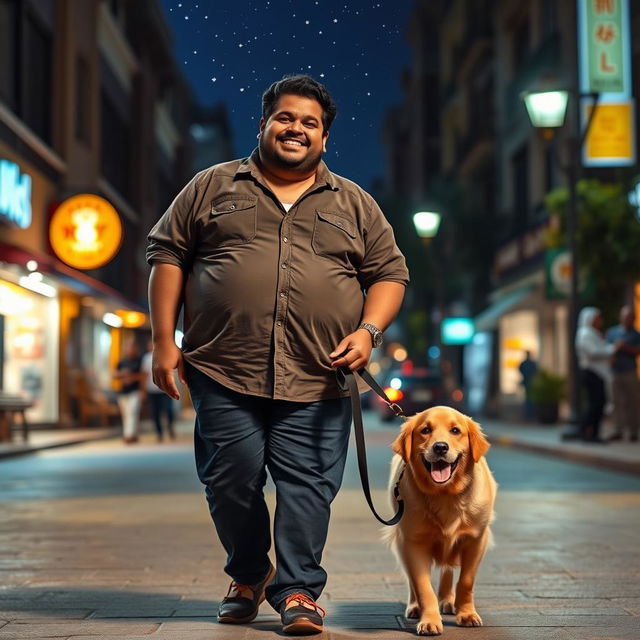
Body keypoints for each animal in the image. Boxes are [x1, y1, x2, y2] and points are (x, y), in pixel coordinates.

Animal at [384, 408, 496, 632]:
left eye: (455, 430)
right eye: (425, 430)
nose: (440, 447)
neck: (445, 495)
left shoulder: (476, 540)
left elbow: (466, 581)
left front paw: (467, 613)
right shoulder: (413, 542)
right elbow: (422, 586)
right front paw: (429, 620)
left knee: (448, 570)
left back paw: (447, 600)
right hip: (402, 544)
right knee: (412, 581)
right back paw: (415, 607)